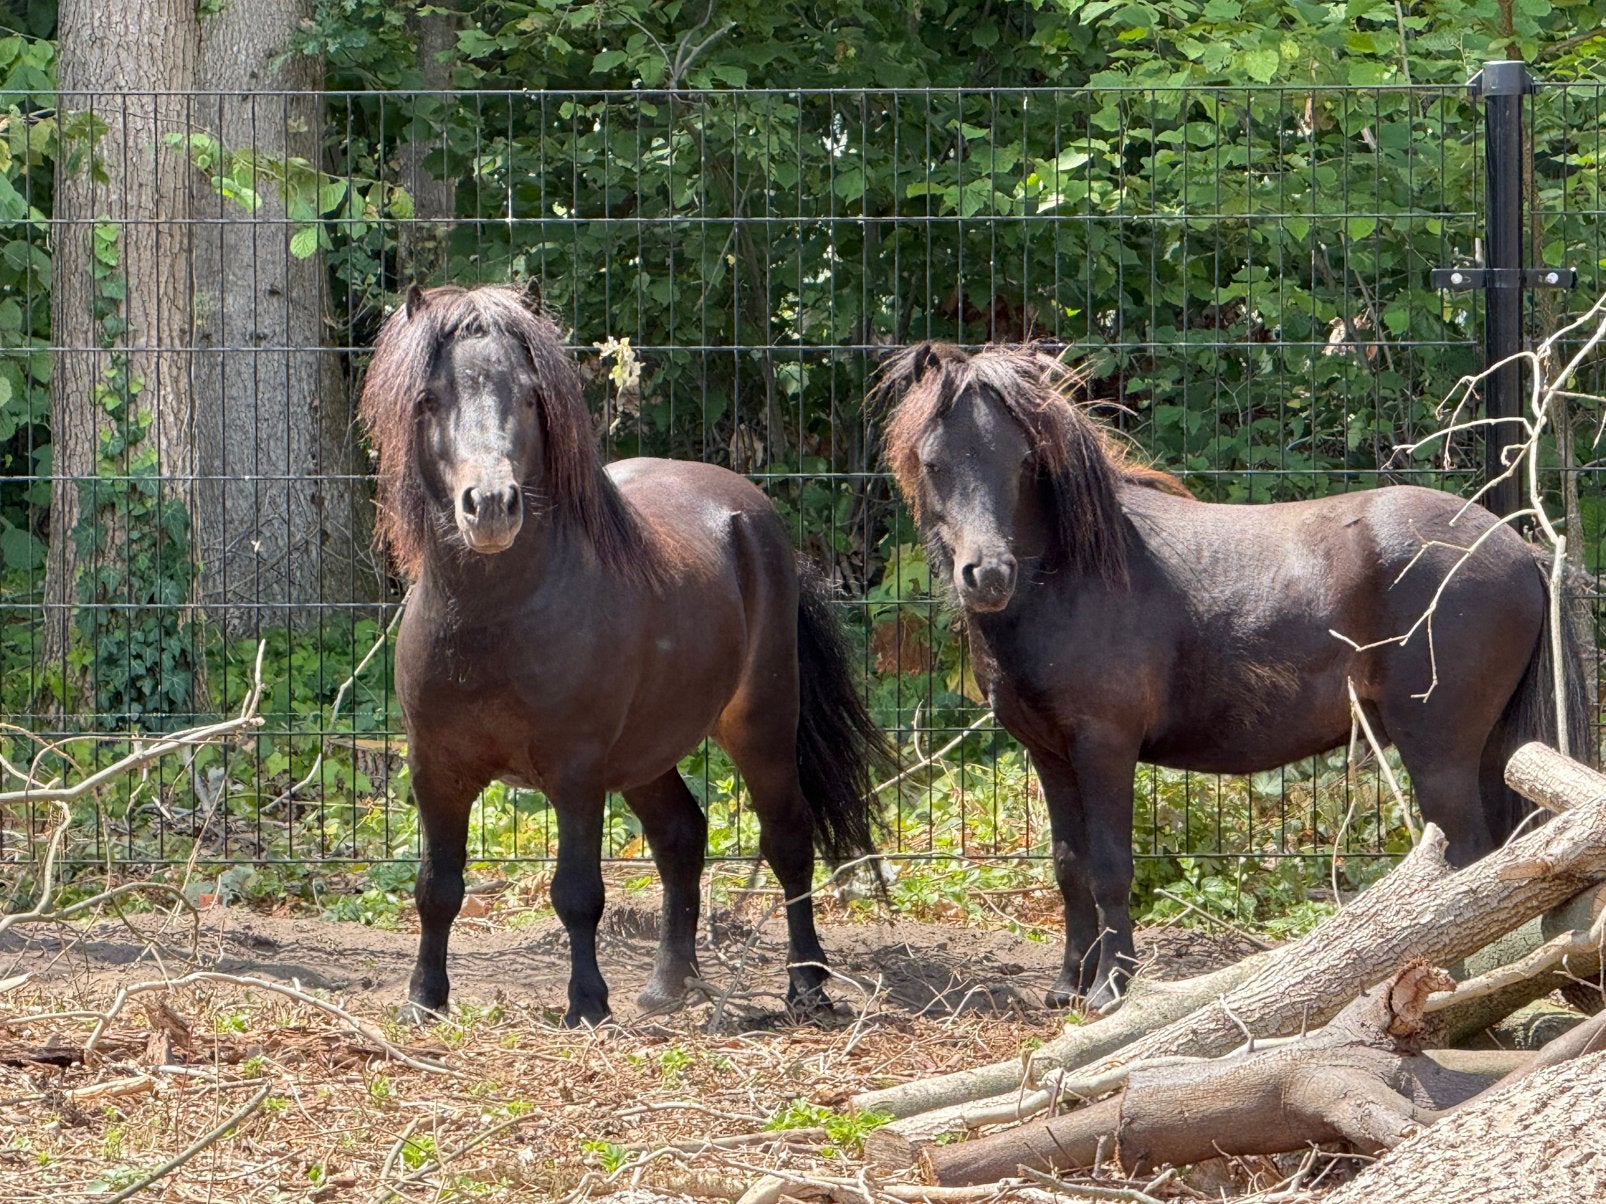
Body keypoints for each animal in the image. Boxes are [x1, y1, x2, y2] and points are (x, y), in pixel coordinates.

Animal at [359, 283, 889, 1026]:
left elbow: (577, 892)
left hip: (759, 724)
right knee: (681, 835)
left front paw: (588, 1004)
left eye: (530, 397)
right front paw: (423, 1001)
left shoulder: (576, 772)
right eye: (428, 400)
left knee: (788, 840)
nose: (490, 506)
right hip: (645, 754)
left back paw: (807, 987)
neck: (493, 622)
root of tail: (747, 511)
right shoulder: (436, 768)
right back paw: (669, 984)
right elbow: (437, 886)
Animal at [877, 341, 1595, 1012]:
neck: (1076, 574)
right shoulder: (1049, 754)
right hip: (1492, 753)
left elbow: (1109, 867)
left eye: (1024, 462)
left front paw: (1110, 989)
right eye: (935, 462)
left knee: (1466, 864)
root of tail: (1518, 547)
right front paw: (1066, 987)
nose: (989, 575)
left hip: (1440, 753)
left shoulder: (1104, 747)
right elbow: (1069, 866)